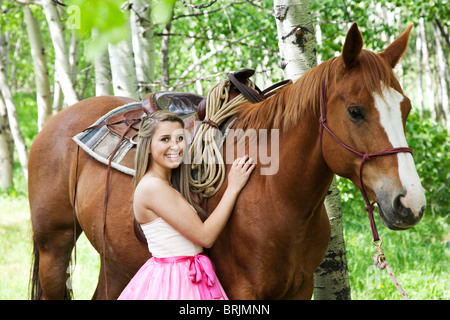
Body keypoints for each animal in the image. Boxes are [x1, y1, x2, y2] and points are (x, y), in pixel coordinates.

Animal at [29, 24, 426, 300]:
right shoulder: (242, 290)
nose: (410, 203)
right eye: (356, 111)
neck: (276, 195)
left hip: (116, 259)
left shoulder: (300, 288)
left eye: (405, 108)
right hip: (54, 247)